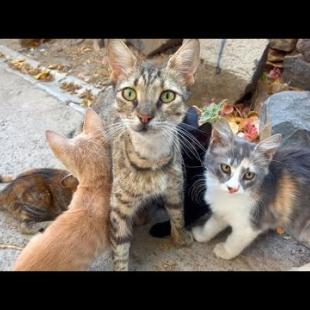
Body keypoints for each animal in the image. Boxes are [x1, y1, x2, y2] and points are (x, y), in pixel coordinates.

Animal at [92, 39, 200, 272]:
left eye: (167, 96)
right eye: (129, 93)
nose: (144, 116)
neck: (152, 157)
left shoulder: (174, 188)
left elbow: (178, 213)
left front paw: (180, 237)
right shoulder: (118, 208)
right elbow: (120, 245)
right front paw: (121, 266)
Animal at [193, 120, 310, 260]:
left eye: (249, 175)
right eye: (226, 168)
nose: (232, 188)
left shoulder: (251, 224)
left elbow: (235, 240)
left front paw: (225, 251)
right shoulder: (221, 210)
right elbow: (212, 224)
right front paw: (201, 234)